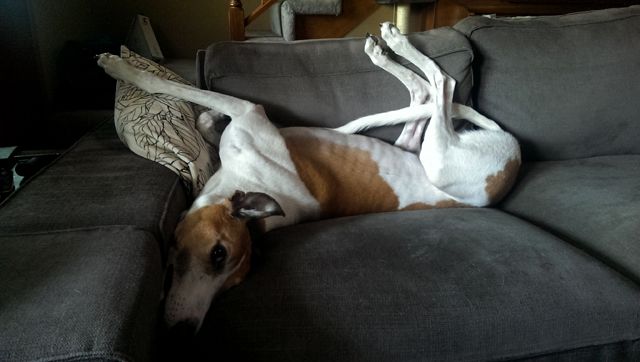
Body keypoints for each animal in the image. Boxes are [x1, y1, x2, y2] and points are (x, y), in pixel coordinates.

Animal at [97, 22, 524, 336]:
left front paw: (121, 69)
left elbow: (170, 86)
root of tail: (514, 157)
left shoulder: (248, 110)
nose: (184, 331)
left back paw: (395, 41)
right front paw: (209, 121)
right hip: (415, 145)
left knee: (442, 85)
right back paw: (384, 54)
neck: (247, 183)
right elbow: (203, 121)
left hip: (439, 158)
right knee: (424, 95)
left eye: (224, 268)